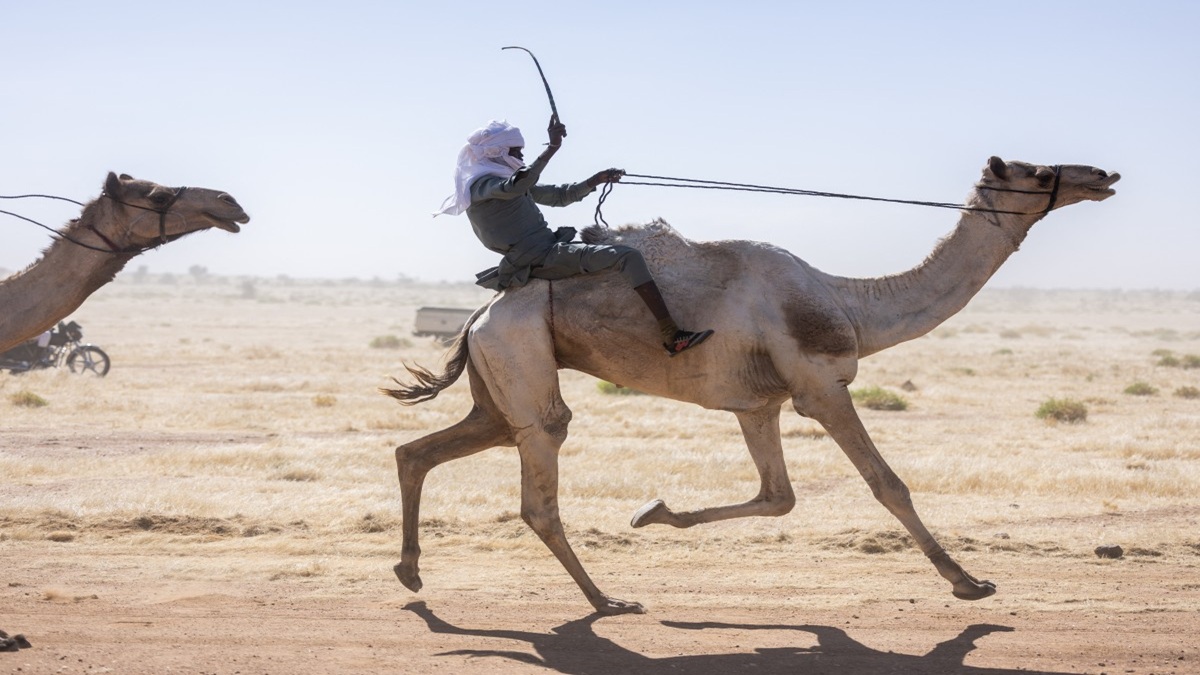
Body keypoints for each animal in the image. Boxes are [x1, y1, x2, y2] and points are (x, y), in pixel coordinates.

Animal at [385, 156, 1120, 615]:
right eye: (1040, 171)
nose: (1102, 175)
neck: (849, 303)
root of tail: (480, 315)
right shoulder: (820, 386)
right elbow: (888, 485)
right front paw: (969, 582)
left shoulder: (757, 404)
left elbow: (778, 497)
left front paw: (655, 512)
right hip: (523, 360)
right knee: (541, 476)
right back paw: (608, 601)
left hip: (496, 386)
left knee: (419, 450)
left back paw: (411, 571)